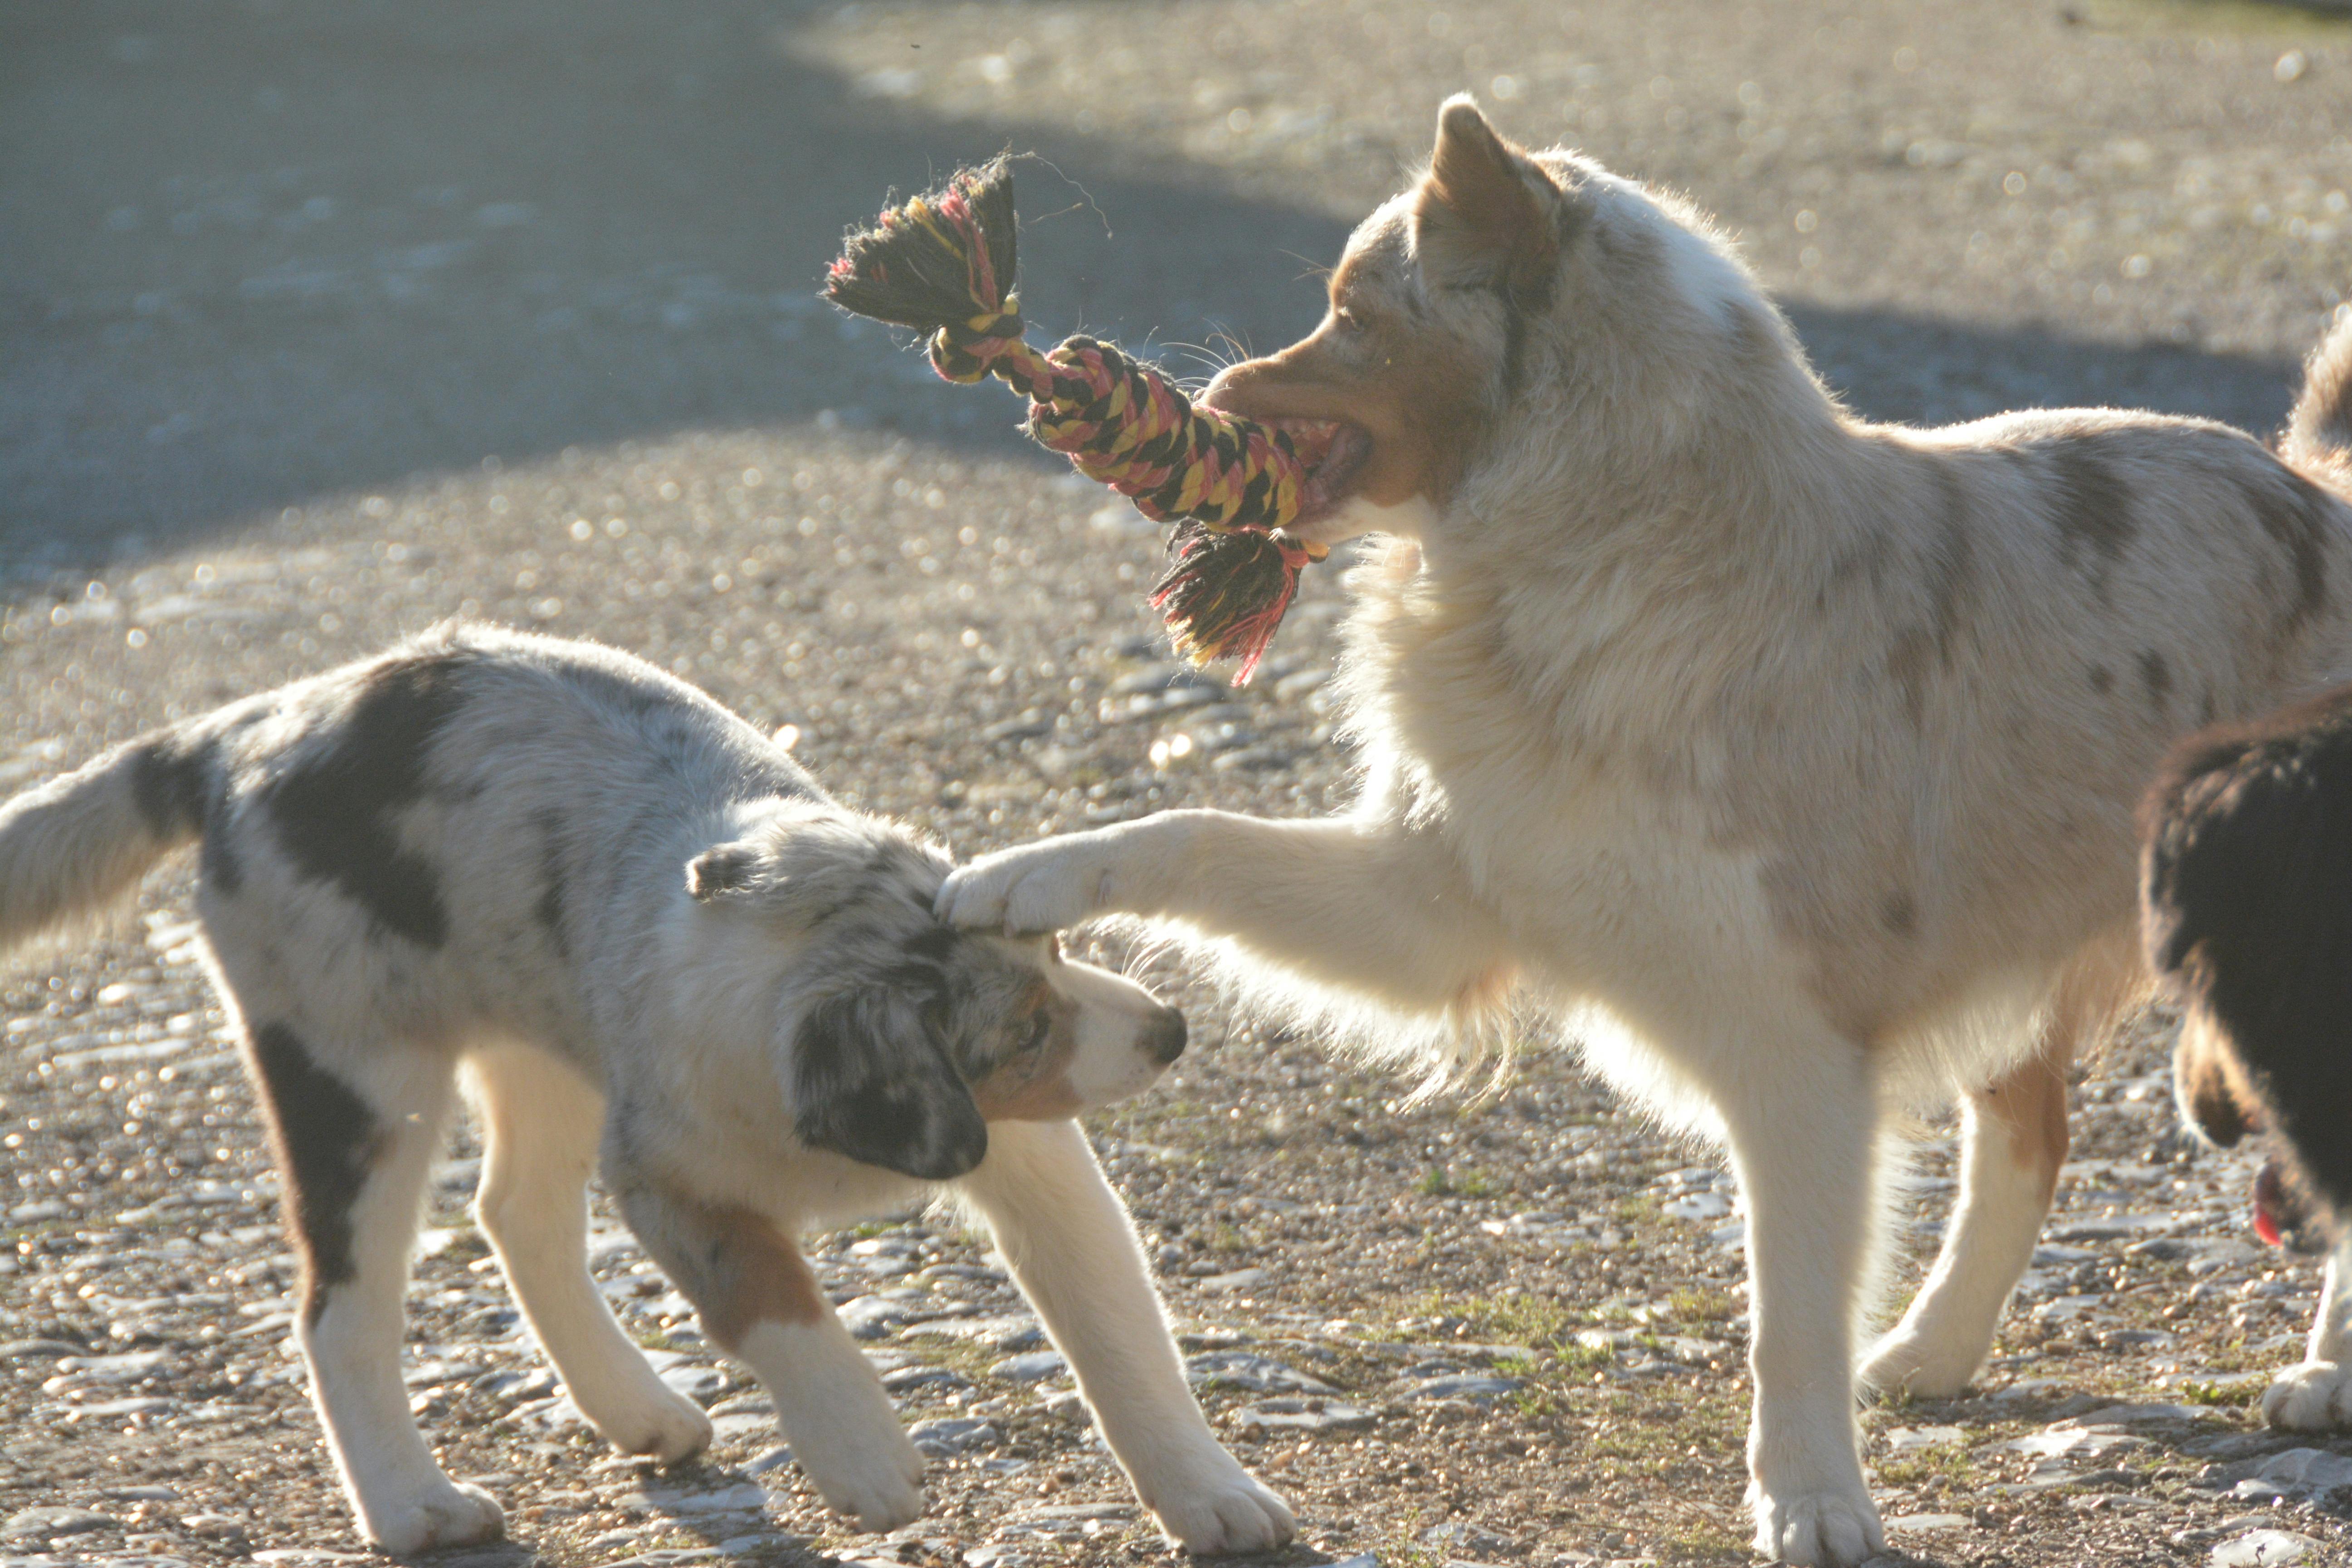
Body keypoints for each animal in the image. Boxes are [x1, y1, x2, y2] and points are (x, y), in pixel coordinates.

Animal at [0, 620, 1288, 1561]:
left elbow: (1116, 1331)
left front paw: (1209, 1494)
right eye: (1022, 1027)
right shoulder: (667, 1176)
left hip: (544, 1042)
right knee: (339, 1305)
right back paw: (415, 1507)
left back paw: (633, 1409)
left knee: (513, 1213)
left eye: (1056, 948)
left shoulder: (1026, 1157)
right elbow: (767, 1292)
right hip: (353, 1070)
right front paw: (863, 1455)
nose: (1169, 1032)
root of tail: (239, 730)